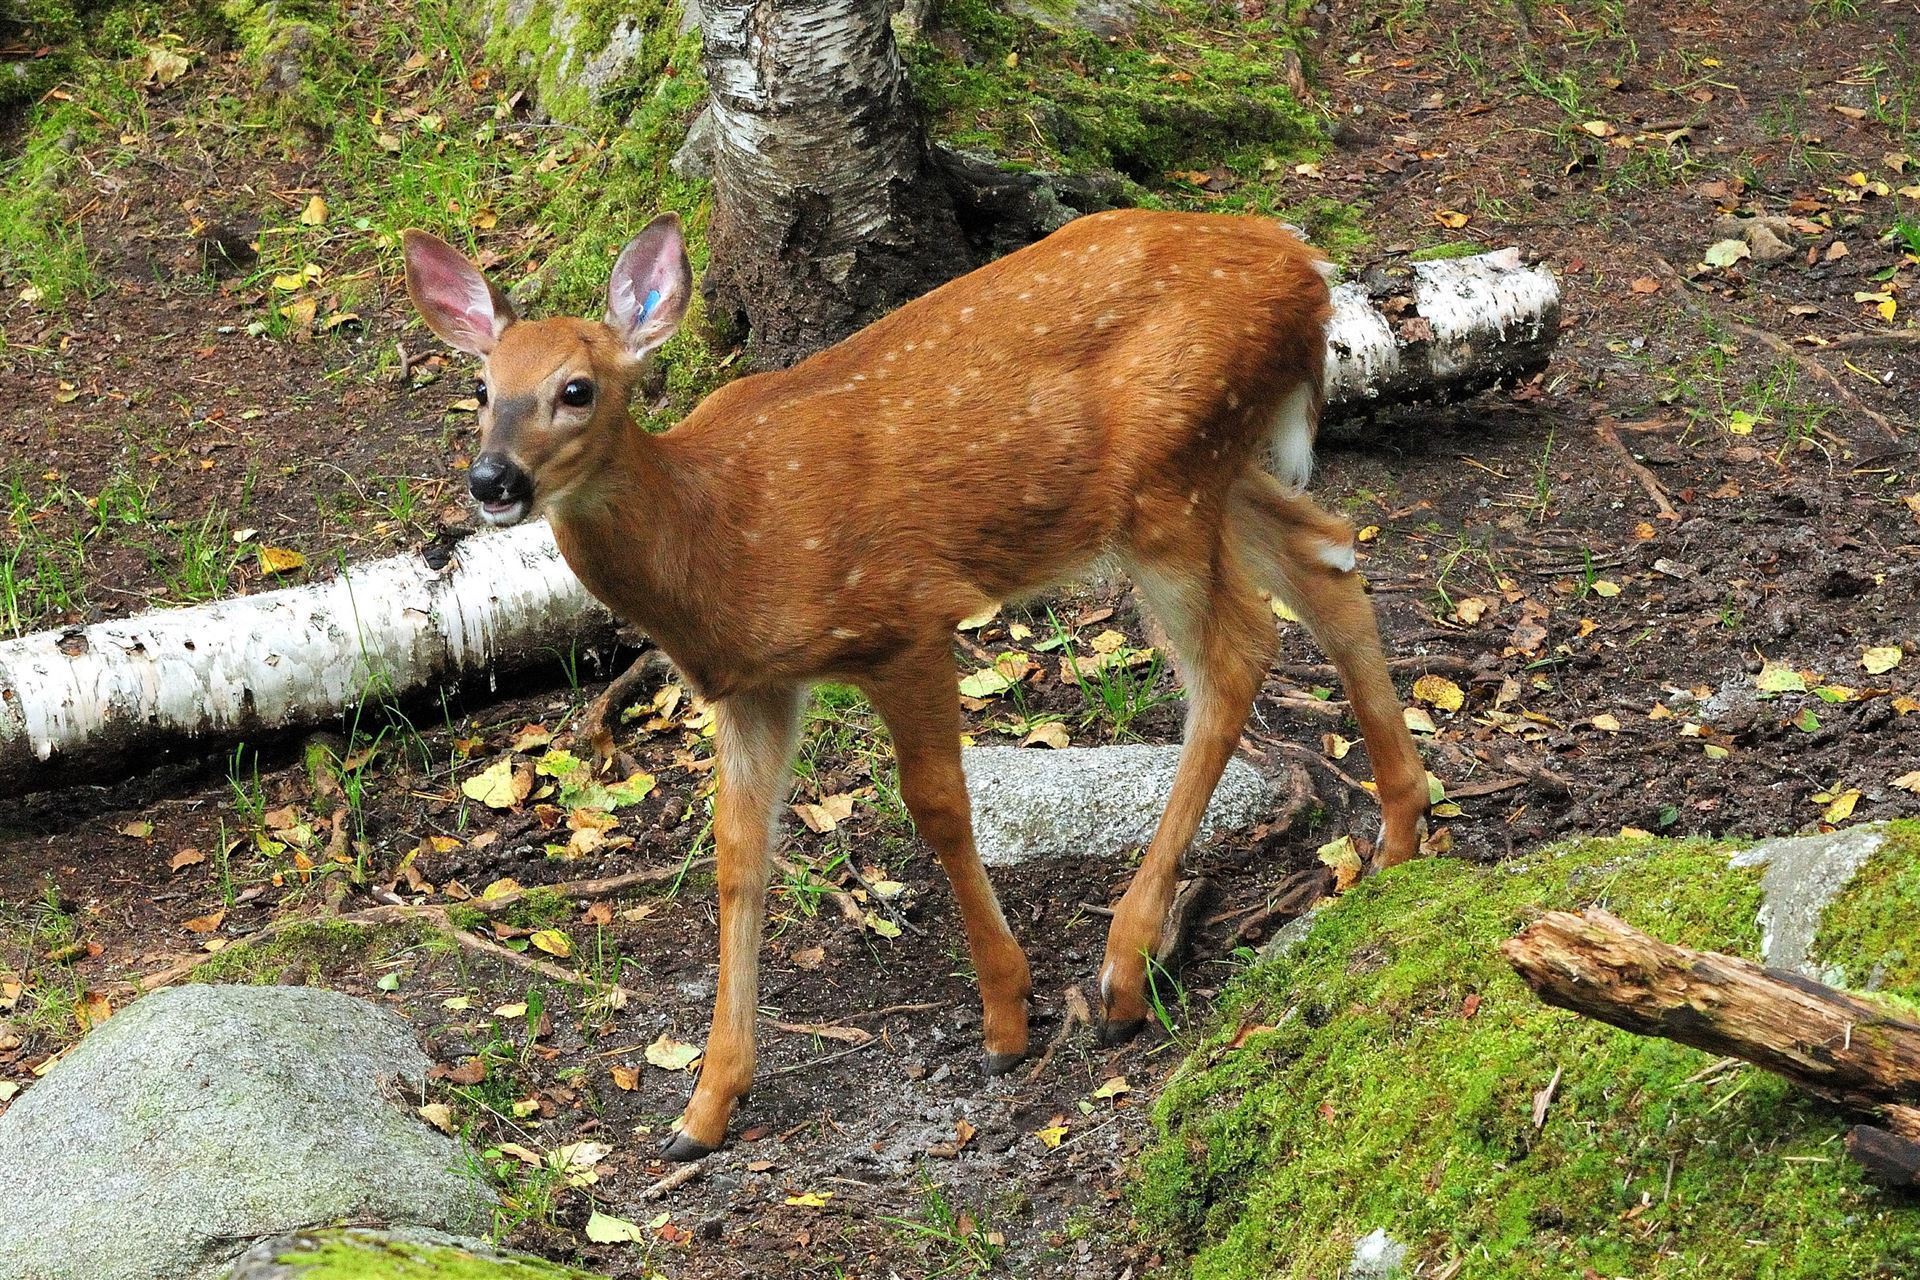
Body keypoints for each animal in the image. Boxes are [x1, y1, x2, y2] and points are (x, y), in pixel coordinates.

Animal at [403, 208, 1430, 1160]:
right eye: (483, 388)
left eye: (575, 390)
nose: (491, 480)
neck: (724, 539)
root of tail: (1308, 273)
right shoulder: (753, 689)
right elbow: (738, 855)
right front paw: (704, 1108)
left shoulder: (903, 620)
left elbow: (937, 805)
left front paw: (1007, 1020)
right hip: (1221, 463)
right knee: (1328, 557)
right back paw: (1400, 835)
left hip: (1167, 480)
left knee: (1240, 649)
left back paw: (1126, 970)